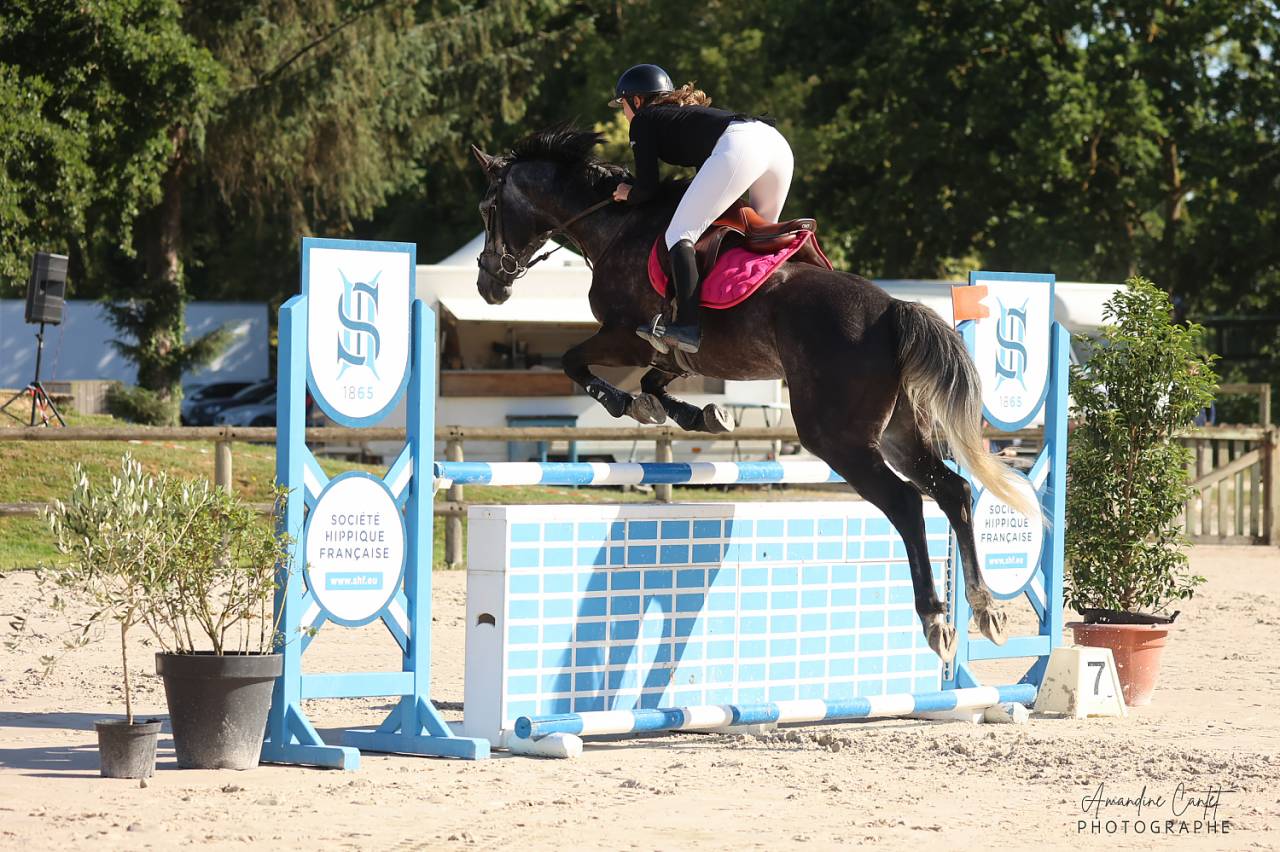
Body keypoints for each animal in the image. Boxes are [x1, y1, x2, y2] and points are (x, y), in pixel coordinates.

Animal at [468, 126, 1036, 662]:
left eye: (487, 208)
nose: (489, 287)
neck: (613, 227)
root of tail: (895, 309)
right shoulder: (673, 355)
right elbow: (655, 381)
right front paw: (695, 415)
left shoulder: (624, 334)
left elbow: (573, 361)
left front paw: (620, 402)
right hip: (898, 432)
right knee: (952, 490)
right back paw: (986, 611)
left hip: (837, 437)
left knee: (905, 501)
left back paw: (936, 619)